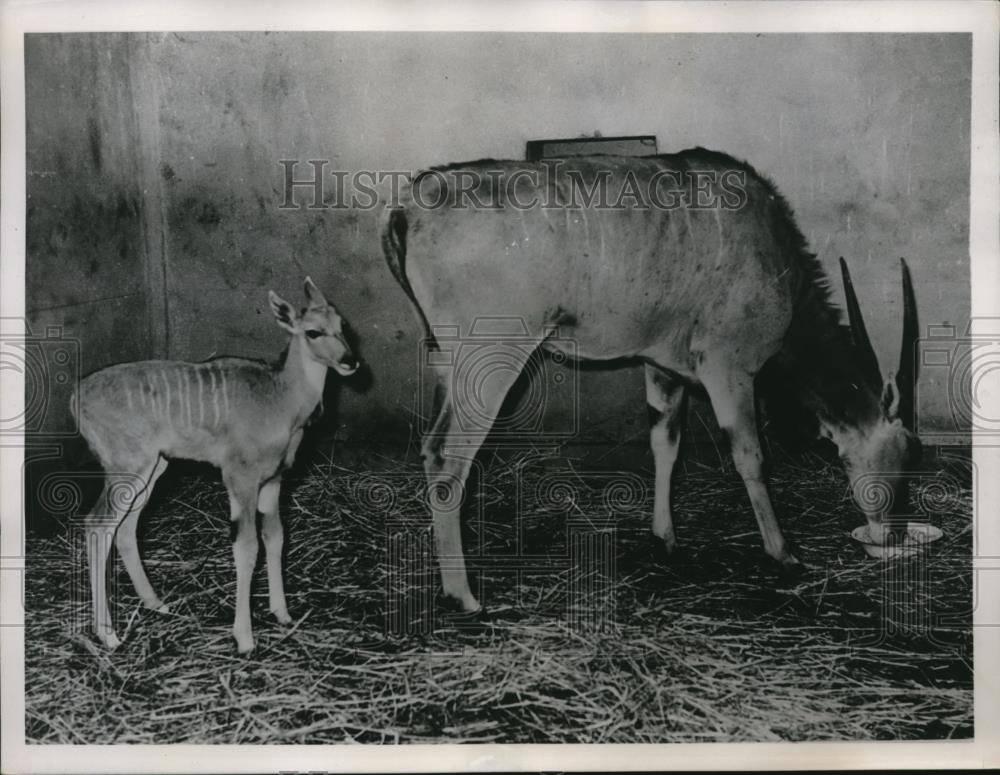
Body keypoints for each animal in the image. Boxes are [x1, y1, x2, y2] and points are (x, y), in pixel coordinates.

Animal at [73, 278, 360, 656]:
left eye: (343, 326)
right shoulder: (239, 475)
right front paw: (245, 639)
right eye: (313, 331)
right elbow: (247, 546)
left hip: (153, 467)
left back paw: (156, 603)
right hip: (126, 463)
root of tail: (75, 398)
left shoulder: (275, 478)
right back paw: (108, 634)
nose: (350, 361)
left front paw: (282, 613)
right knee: (98, 524)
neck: (281, 400)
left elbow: (276, 537)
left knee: (126, 527)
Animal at [384, 149, 920, 616]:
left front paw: (666, 537)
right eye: (907, 453)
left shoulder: (662, 367)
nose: (894, 533)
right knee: (446, 457)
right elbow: (750, 456)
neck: (773, 255)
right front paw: (784, 553)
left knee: (434, 449)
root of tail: (410, 206)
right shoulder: (727, 366)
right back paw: (464, 596)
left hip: (447, 361)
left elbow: (666, 443)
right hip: (491, 359)